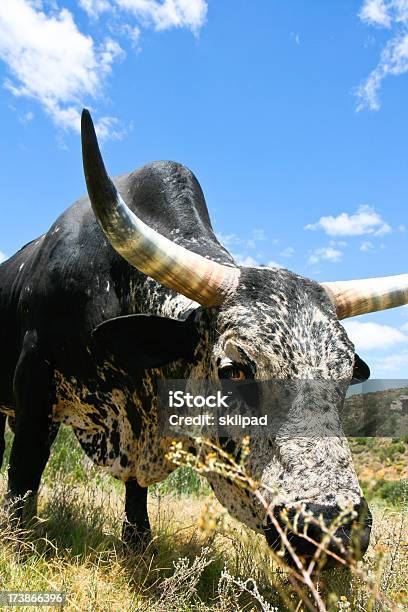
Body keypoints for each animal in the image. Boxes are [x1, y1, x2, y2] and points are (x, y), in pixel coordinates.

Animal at [0, 111, 406, 564]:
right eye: (234, 369)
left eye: (346, 375)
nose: (336, 530)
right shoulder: (35, 392)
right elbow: (24, 475)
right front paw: (17, 542)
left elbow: (135, 491)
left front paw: (138, 541)